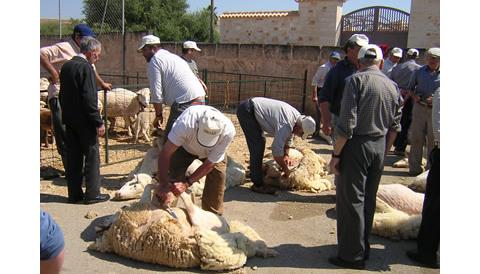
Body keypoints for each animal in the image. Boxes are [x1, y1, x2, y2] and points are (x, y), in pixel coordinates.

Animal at [90, 183, 278, 270]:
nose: (102, 224)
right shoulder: (147, 203)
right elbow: (150, 190)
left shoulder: (148, 203)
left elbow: (151, 191)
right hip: (201, 221)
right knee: (189, 202)